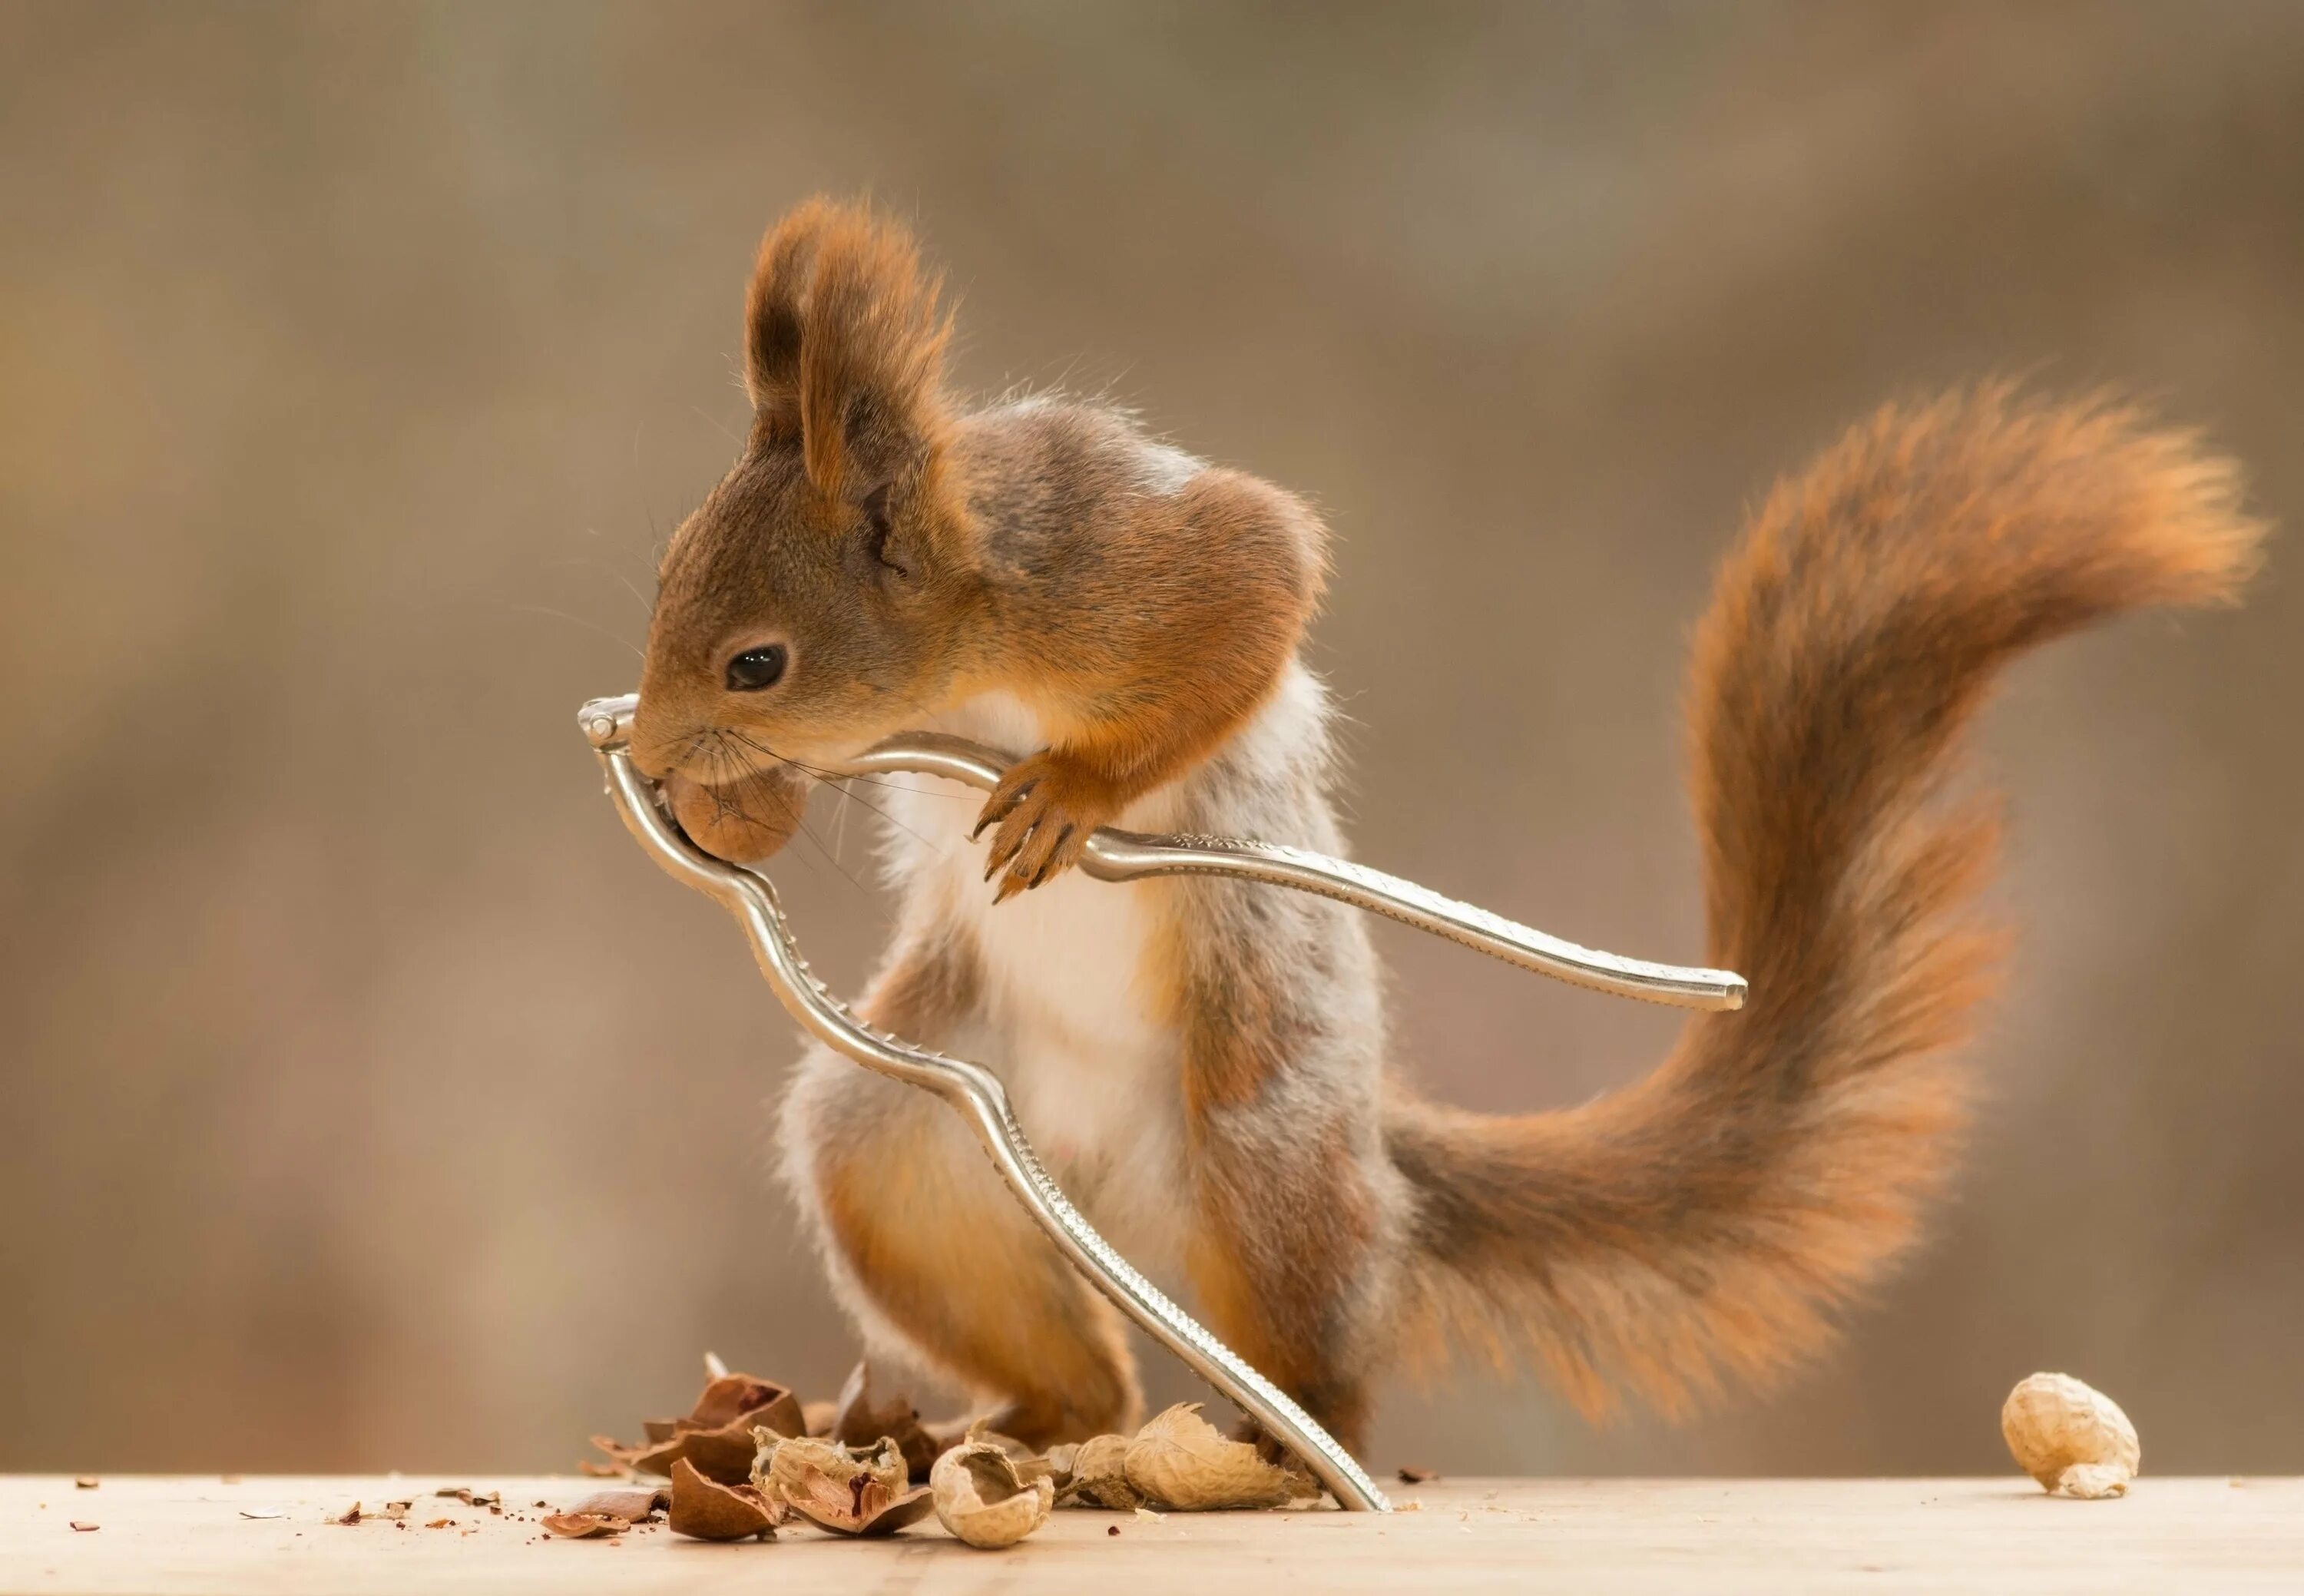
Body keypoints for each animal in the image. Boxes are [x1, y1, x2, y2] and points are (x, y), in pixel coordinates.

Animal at [631, 193, 2267, 1446]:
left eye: (758, 661)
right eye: (660, 575)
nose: (643, 755)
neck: (974, 639)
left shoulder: (1112, 561)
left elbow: (1264, 577)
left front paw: (1072, 793)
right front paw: (722, 816)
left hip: (1264, 1140)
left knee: (1322, 1358)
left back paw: (1278, 1453)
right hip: (899, 1142)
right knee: (1078, 1368)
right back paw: (1022, 1428)